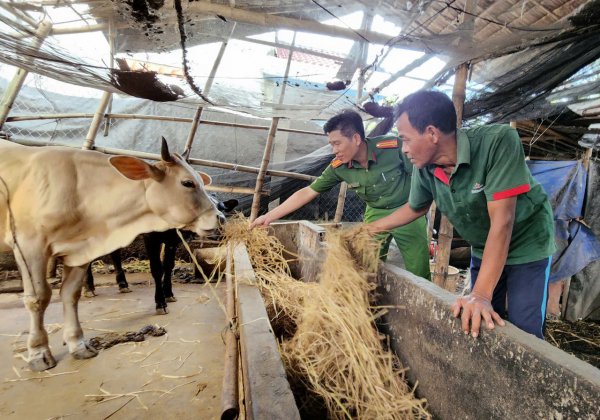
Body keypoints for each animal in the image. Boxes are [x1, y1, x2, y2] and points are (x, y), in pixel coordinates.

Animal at [0, 139, 224, 370]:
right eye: (187, 183)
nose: (221, 217)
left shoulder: (84, 247)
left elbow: (70, 294)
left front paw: (78, 345)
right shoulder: (29, 245)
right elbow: (38, 298)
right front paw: (39, 352)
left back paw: (121, 283)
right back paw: (92, 288)